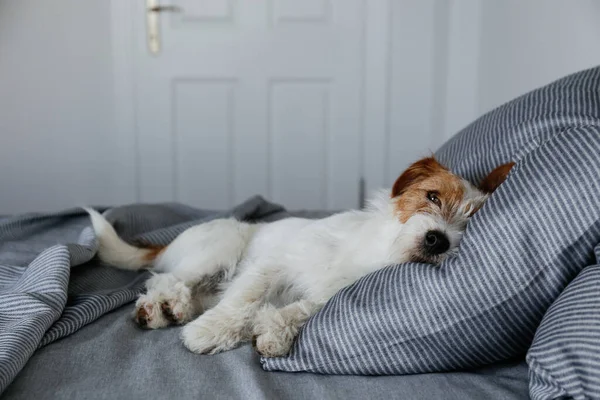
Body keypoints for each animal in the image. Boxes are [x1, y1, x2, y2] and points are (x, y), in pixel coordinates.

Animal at [86, 155, 512, 356]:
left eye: (471, 220)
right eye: (432, 197)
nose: (438, 240)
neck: (375, 255)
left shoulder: (331, 294)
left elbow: (304, 308)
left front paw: (273, 332)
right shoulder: (275, 265)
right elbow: (244, 300)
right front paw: (211, 332)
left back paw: (171, 309)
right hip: (221, 246)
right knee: (167, 278)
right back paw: (164, 305)